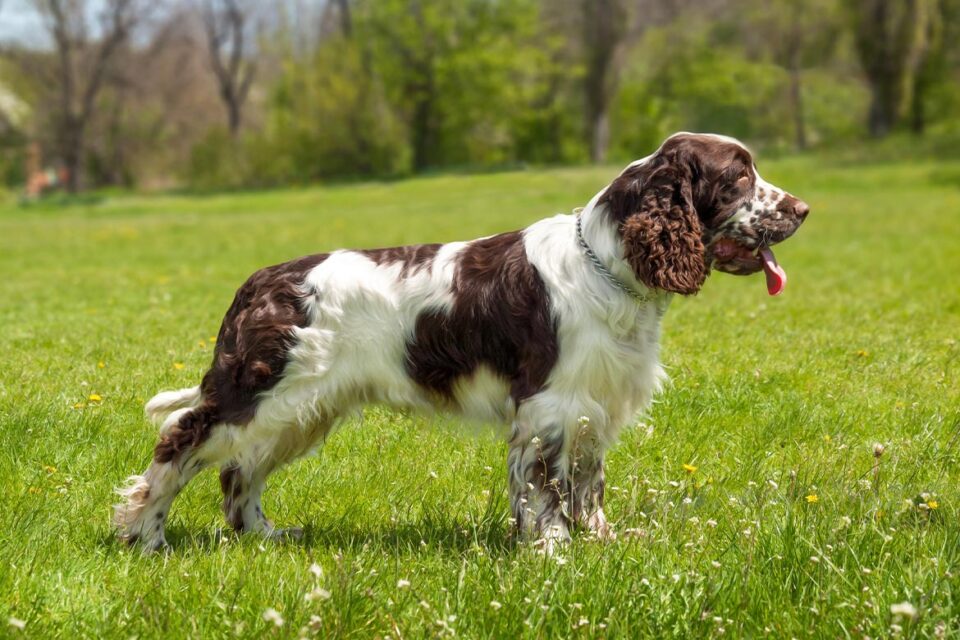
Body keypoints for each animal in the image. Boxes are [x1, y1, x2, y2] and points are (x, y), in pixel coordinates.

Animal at [114, 131, 808, 552]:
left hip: (303, 408)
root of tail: (259, 282)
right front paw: (554, 553)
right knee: (181, 437)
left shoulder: (593, 406)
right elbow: (545, 490)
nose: (802, 210)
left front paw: (601, 542)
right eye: (738, 176)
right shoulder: (549, 406)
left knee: (241, 471)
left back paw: (263, 536)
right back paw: (145, 535)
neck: (608, 263)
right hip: (263, 392)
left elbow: (587, 485)